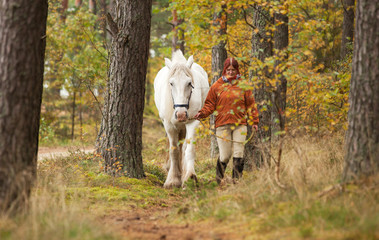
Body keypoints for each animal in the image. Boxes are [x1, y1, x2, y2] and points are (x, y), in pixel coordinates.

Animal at [154, 50, 209, 188]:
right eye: (171, 83)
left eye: (189, 83)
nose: (181, 114)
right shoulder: (168, 125)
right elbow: (174, 150)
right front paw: (172, 180)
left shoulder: (193, 122)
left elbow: (189, 149)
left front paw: (189, 177)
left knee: (183, 147)